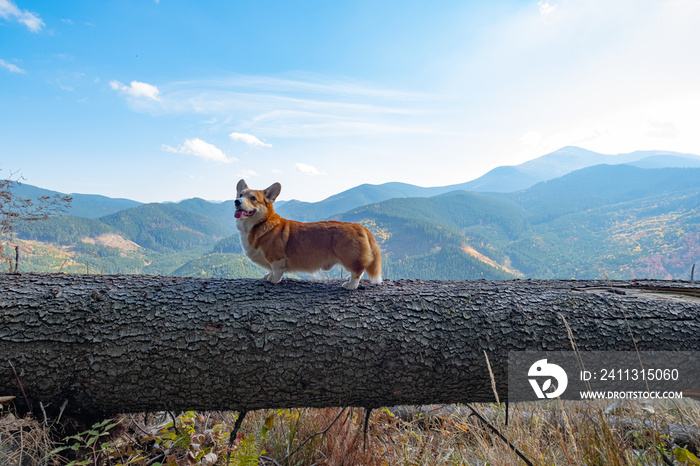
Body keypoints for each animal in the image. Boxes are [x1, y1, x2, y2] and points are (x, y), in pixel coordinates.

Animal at [234, 180, 382, 290]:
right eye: (240, 194)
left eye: (253, 198)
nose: (236, 201)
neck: (259, 224)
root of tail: (359, 226)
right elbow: (270, 269)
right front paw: (267, 275)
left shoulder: (276, 258)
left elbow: (276, 271)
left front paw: (273, 280)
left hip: (348, 256)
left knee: (358, 270)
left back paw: (350, 285)